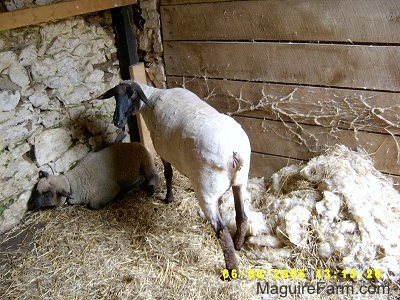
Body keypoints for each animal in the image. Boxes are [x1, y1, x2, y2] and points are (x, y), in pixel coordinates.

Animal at [28, 143, 159, 211]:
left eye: (48, 194)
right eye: (36, 190)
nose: (31, 205)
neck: (73, 182)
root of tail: (138, 144)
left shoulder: (111, 188)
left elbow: (94, 204)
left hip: (146, 160)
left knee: (153, 175)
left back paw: (148, 187)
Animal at [97, 80, 250, 276]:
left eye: (132, 95)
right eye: (115, 96)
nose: (117, 121)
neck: (152, 100)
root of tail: (234, 152)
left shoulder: (163, 152)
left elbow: (168, 174)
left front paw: (168, 198)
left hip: (207, 191)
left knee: (222, 232)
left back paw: (231, 271)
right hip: (241, 182)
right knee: (242, 217)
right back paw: (239, 245)